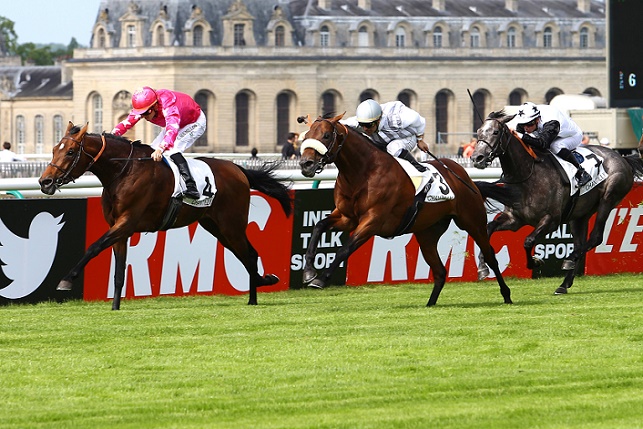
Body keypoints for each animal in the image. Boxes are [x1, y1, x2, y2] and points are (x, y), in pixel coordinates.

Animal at [39, 122, 292, 310]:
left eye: (70, 152)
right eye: (54, 150)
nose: (45, 181)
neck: (124, 172)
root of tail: (238, 170)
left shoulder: (126, 222)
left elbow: (94, 247)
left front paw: (66, 279)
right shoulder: (119, 227)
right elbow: (119, 271)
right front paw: (115, 307)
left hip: (232, 225)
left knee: (250, 254)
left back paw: (255, 295)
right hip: (216, 226)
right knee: (246, 255)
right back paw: (260, 287)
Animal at [296, 110, 512, 304]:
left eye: (325, 135)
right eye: (306, 136)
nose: (306, 164)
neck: (362, 173)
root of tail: (466, 178)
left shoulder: (372, 221)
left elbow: (345, 249)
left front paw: (321, 279)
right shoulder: (346, 217)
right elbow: (318, 227)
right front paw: (308, 272)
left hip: (473, 222)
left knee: (490, 256)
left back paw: (506, 294)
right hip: (427, 233)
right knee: (440, 271)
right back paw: (429, 304)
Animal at [472, 109, 643, 294]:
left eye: (496, 132)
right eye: (478, 132)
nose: (477, 158)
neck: (528, 173)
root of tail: (623, 158)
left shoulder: (551, 220)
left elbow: (528, 241)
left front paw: (534, 262)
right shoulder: (514, 220)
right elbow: (489, 228)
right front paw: (483, 267)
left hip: (608, 199)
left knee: (595, 237)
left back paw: (569, 260)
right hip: (579, 215)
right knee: (580, 243)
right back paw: (564, 284)